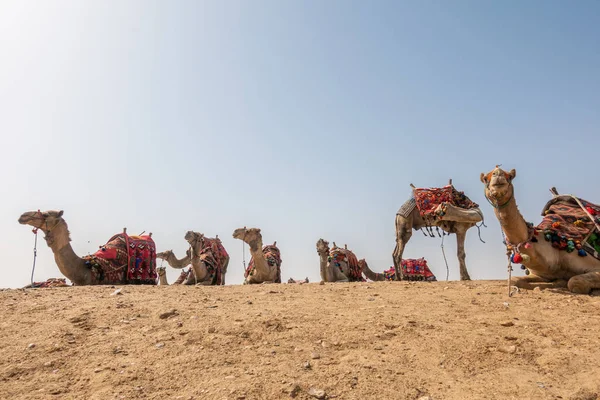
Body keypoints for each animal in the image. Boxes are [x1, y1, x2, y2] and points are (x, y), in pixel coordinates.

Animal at [480, 166, 600, 294]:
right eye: (485, 178)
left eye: (510, 176)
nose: (498, 173)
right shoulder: (541, 273)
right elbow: (514, 280)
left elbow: (575, 282)